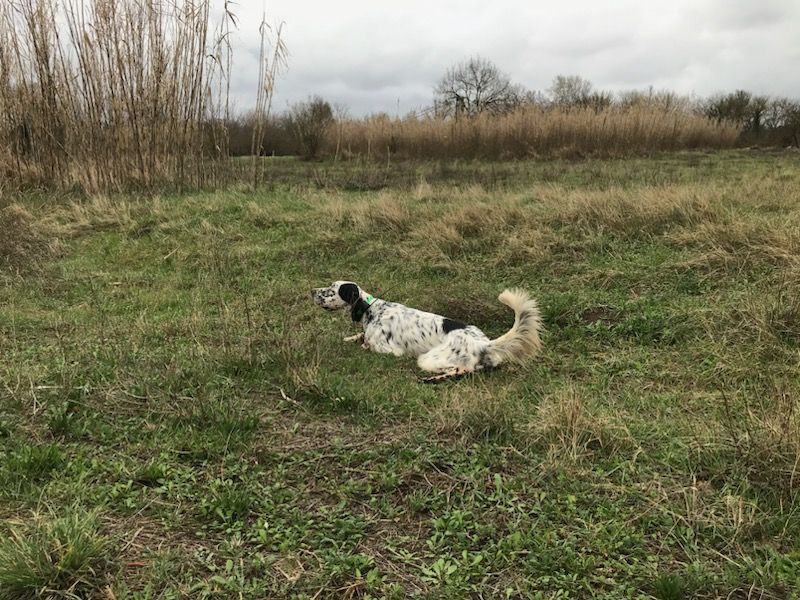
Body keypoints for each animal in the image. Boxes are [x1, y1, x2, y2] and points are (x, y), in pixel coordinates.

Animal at [310, 280, 540, 380]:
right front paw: (350, 338)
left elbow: (367, 346)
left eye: (331, 290)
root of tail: (484, 343)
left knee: (465, 370)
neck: (371, 309)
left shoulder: (389, 351)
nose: (311, 290)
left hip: (429, 358)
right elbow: (360, 337)